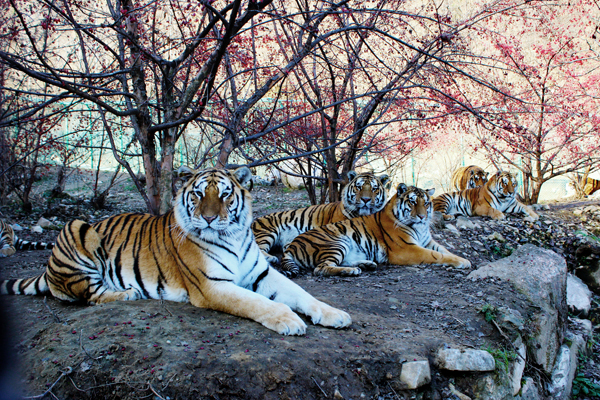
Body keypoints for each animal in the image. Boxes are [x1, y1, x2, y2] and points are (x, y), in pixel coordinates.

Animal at [0, 167, 352, 336]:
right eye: (197, 194)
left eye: (225, 195)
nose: (208, 218)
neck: (234, 237)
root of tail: (47, 270)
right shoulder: (213, 286)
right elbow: (259, 303)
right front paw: (289, 321)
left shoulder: (263, 272)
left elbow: (303, 294)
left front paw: (335, 314)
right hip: (76, 226)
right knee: (87, 293)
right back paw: (126, 293)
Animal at [252, 170, 390, 264]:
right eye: (359, 187)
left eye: (374, 188)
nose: (366, 199)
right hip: (266, 232)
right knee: (257, 248)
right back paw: (271, 258)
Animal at [278, 183, 472, 276]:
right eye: (412, 202)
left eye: (426, 203)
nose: (423, 217)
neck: (420, 229)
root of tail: (292, 244)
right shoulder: (407, 249)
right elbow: (437, 255)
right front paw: (463, 262)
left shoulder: (428, 242)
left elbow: (444, 250)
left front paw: (463, 259)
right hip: (337, 242)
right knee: (321, 268)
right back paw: (351, 271)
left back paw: (367, 264)